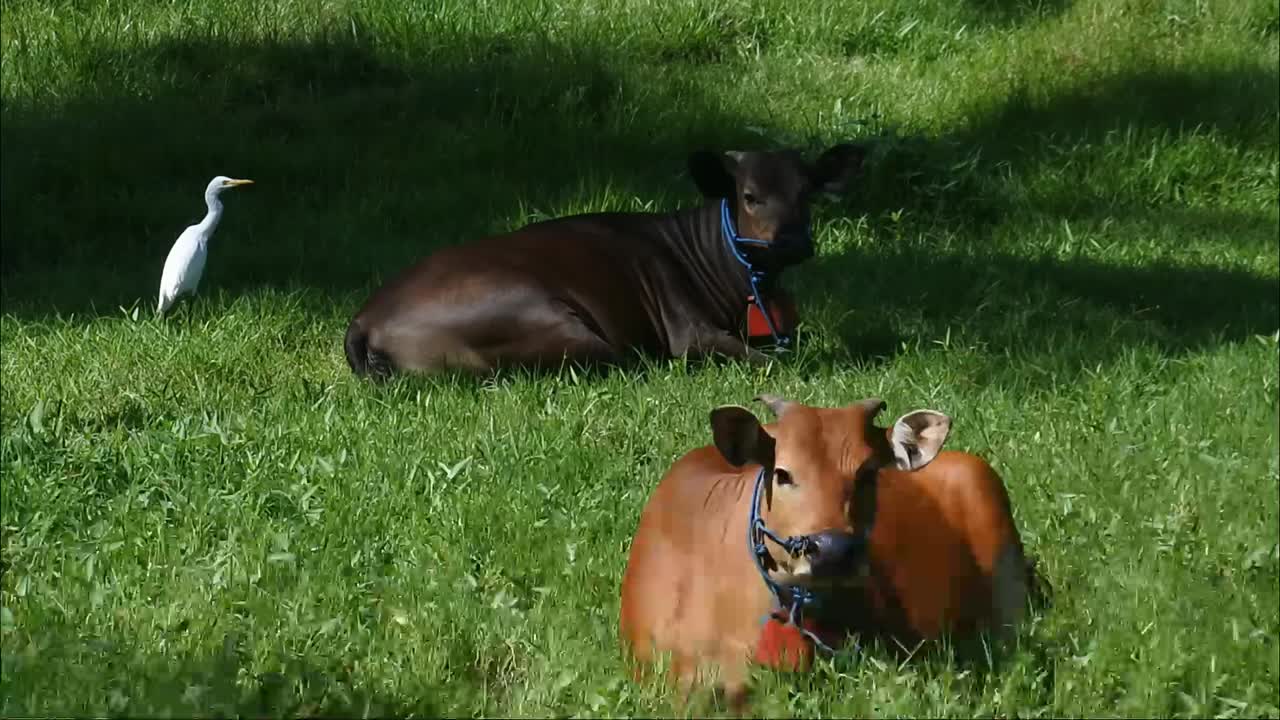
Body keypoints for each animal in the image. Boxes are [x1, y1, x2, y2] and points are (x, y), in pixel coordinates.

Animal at [343, 145, 867, 378]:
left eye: (808, 192)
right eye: (750, 196)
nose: (793, 241)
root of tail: (364, 319)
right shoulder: (687, 330)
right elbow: (768, 360)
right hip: (540, 321)